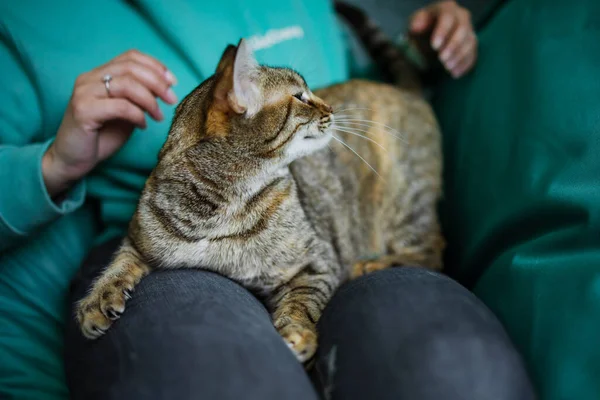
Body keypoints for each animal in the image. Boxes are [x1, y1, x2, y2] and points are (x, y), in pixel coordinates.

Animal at [75, 5, 442, 366]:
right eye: (300, 96)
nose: (331, 108)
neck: (220, 211)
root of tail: (404, 90)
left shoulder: (317, 261)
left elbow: (302, 301)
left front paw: (296, 333)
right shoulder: (139, 240)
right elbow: (117, 264)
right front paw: (97, 300)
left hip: (407, 204)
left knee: (434, 249)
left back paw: (375, 263)